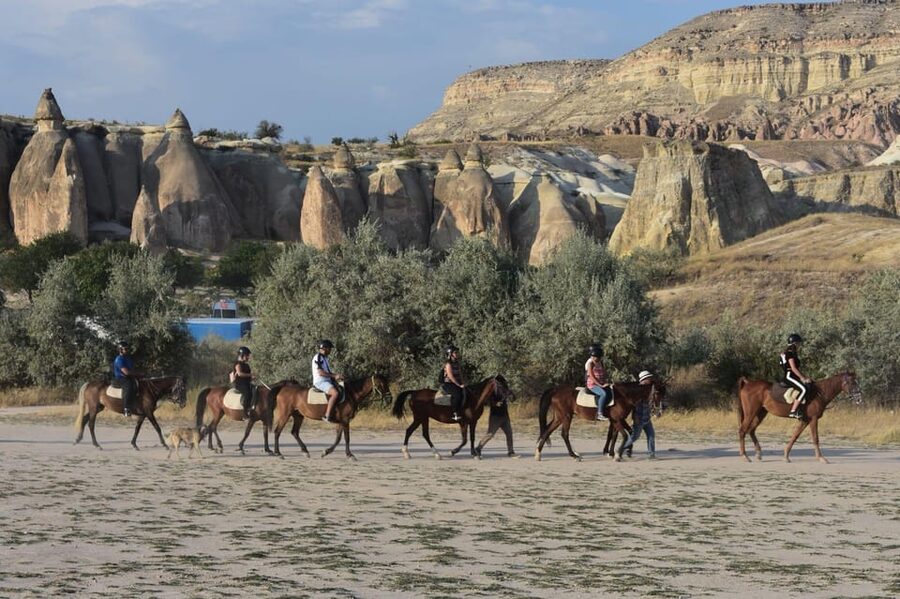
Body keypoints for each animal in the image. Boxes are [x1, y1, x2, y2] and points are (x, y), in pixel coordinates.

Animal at [535, 380, 666, 462]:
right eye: (657, 394)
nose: (659, 413)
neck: (624, 396)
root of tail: (556, 390)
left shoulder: (616, 420)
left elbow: (617, 434)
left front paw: (616, 452)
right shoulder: (617, 420)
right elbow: (623, 435)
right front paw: (617, 455)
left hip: (559, 417)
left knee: (547, 431)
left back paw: (538, 454)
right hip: (566, 416)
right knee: (564, 434)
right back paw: (574, 456)